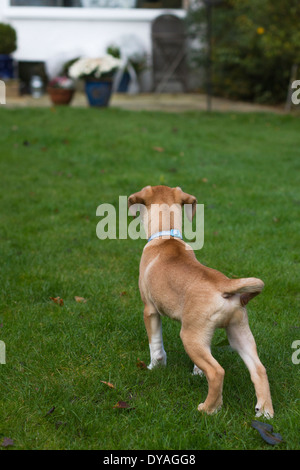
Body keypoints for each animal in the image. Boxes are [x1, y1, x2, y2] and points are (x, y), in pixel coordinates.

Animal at [127, 185, 274, 416]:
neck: (167, 235)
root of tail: (224, 284)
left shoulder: (149, 310)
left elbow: (156, 345)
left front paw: (154, 367)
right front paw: (197, 372)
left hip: (189, 336)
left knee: (217, 371)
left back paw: (208, 408)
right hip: (237, 332)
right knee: (258, 369)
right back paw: (265, 411)